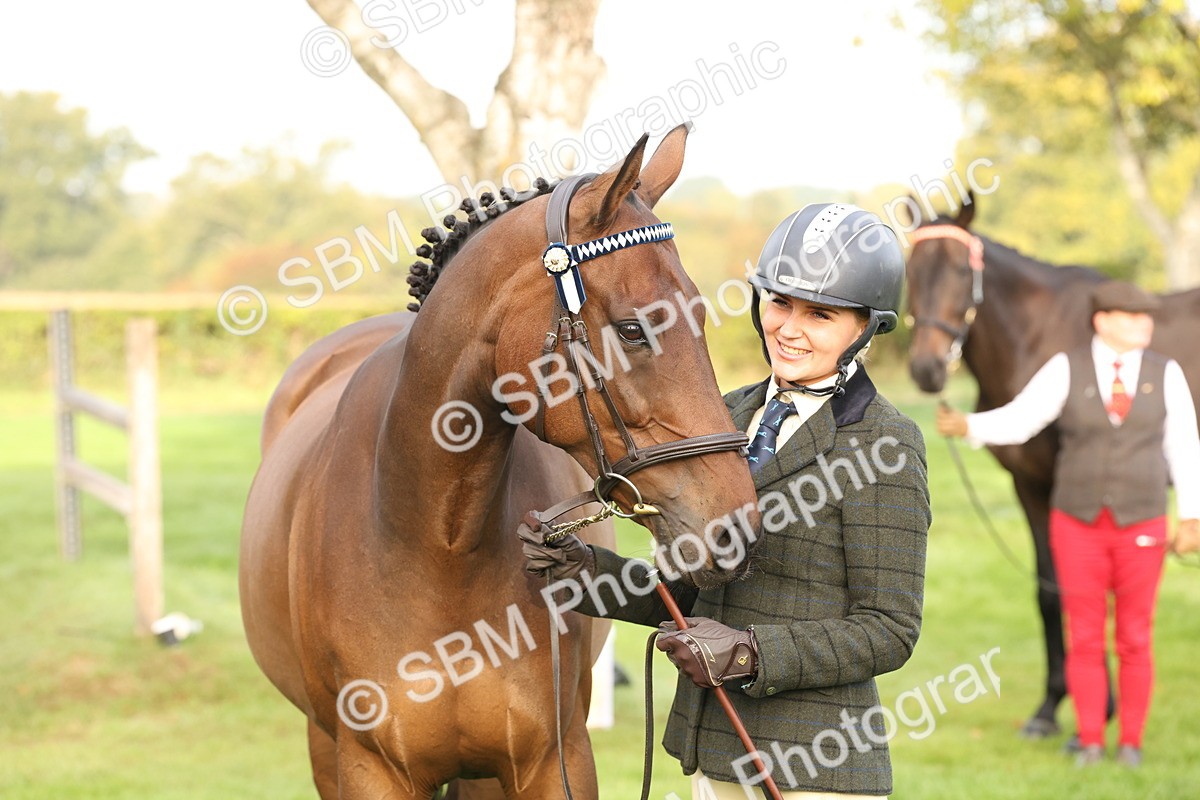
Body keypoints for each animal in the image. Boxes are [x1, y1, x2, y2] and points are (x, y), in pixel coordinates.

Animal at [239, 124, 763, 800]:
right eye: (632, 329)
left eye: (699, 314)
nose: (736, 526)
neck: (435, 544)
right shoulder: (367, 769)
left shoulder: (551, 763)